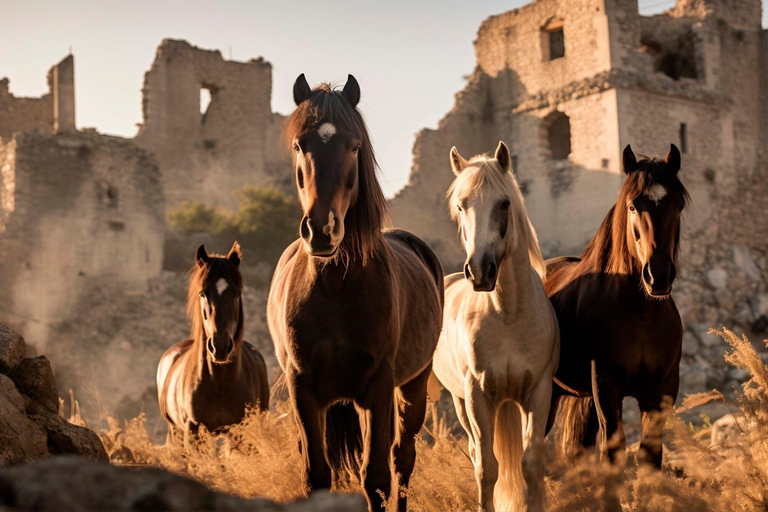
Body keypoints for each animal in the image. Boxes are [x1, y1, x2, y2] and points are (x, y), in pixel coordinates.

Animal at [157, 242, 270, 445]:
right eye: (202, 293)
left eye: (236, 293)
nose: (220, 347)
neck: (219, 381)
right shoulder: (193, 432)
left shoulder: (241, 431)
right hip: (175, 432)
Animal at [267, 74, 444, 511]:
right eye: (300, 145)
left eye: (354, 146)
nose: (321, 230)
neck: (335, 288)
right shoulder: (304, 390)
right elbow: (317, 474)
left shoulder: (378, 389)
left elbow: (377, 478)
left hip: (412, 385)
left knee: (403, 458)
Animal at [433, 142, 559, 512]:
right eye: (461, 205)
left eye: (504, 204)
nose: (480, 272)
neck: (507, 314)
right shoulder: (478, 396)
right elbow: (487, 468)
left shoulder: (538, 392)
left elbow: (530, 464)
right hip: (461, 402)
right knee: (477, 452)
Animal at [545, 144, 688, 476]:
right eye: (633, 206)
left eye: (678, 206)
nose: (658, 276)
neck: (640, 314)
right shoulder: (606, 390)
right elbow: (613, 455)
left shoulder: (661, 393)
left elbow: (650, 458)